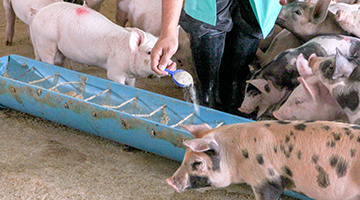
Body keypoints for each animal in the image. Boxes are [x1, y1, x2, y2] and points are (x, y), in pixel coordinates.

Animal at [30, 1, 160, 86]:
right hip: (46, 41)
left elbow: (131, 86)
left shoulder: (131, 76)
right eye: (149, 52)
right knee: (47, 60)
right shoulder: (115, 71)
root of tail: (39, 12)